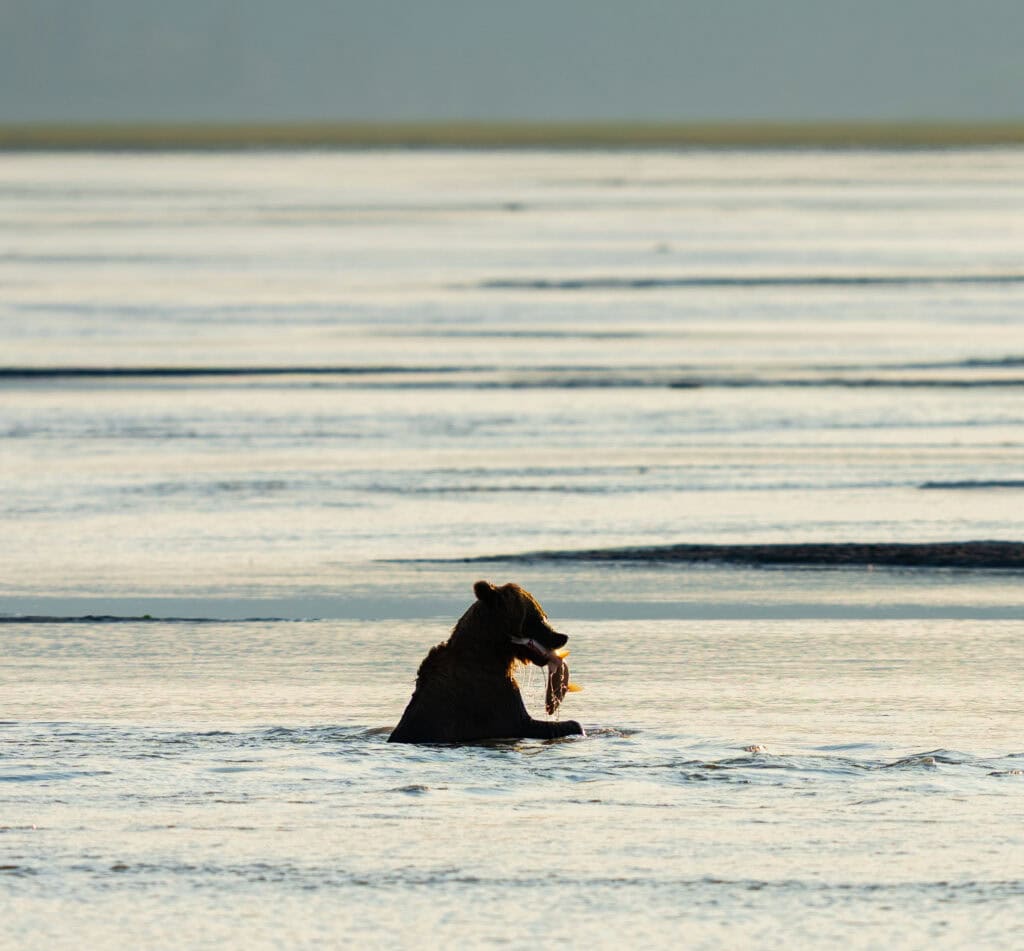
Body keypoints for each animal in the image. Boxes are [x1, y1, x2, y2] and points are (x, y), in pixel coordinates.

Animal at [388, 580, 584, 744]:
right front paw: (574, 726)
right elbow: (528, 723)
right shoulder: (490, 700)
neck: (492, 653)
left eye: (543, 615)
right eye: (538, 617)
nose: (562, 637)